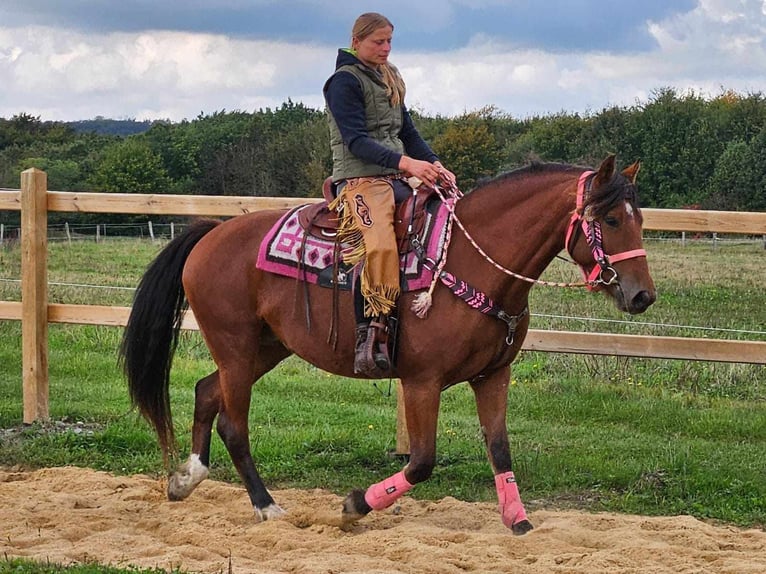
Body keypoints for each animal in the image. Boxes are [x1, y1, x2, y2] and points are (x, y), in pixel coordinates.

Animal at [121, 154, 660, 536]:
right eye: (611, 220)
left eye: (639, 220)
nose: (642, 295)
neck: (466, 261)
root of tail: (212, 233)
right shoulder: (422, 382)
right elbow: (421, 462)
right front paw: (354, 506)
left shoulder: (493, 375)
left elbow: (500, 448)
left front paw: (519, 522)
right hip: (236, 347)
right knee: (234, 424)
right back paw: (267, 507)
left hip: (265, 348)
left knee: (205, 391)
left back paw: (185, 480)